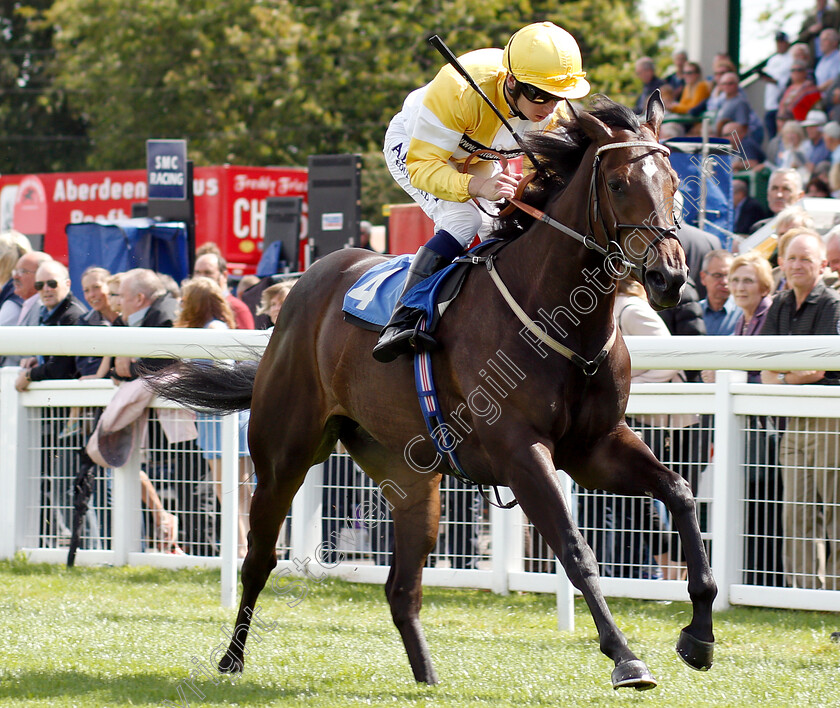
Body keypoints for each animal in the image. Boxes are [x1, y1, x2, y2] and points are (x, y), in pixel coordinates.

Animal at [149, 92, 716, 692]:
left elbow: (679, 492)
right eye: (617, 183)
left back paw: (426, 677)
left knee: (401, 588)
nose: (669, 278)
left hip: (410, 475)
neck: (559, 319)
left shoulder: (593, 447)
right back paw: (230, 660)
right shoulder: (520, 452)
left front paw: (698, 635)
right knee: (259, 559)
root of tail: (305, 283)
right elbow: (574, 548)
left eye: (674, 182)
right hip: (284, 453)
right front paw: (625, 656)